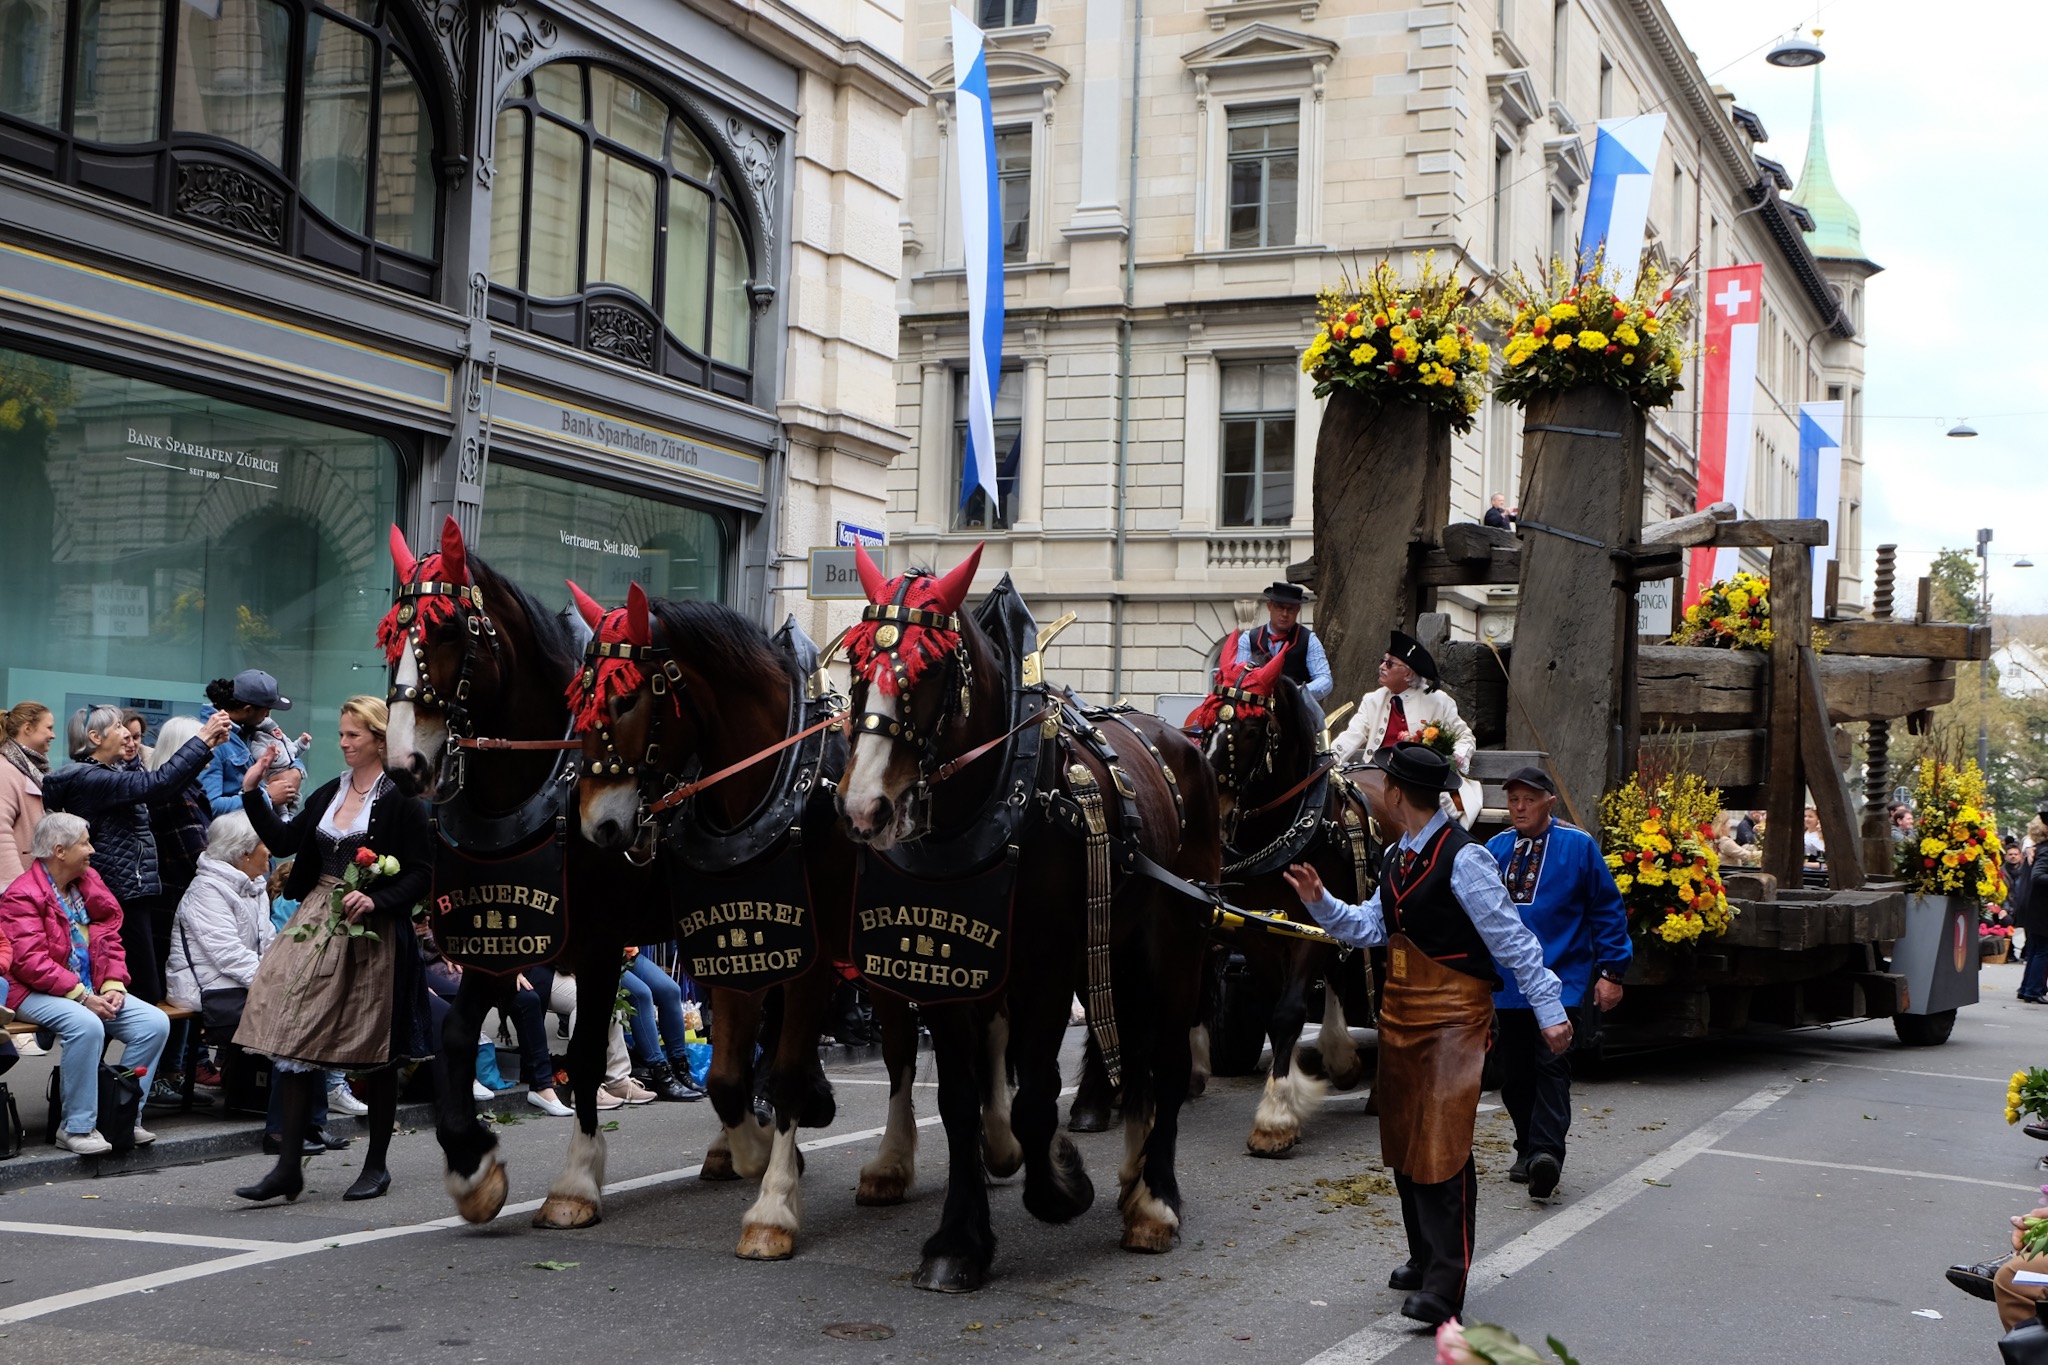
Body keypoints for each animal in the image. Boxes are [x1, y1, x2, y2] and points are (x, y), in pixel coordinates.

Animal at [385, 517, 663, 1236]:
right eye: (391, 631)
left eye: (447, 630)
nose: (402, 766)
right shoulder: (497, 933)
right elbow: (456, 1034)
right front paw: (472, 1163)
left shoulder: (598, 944)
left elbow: (586, 1053)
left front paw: (576, 1183)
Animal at [561, 581, 929, 1260]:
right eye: (578, 702)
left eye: (626, 698)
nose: (600, 826)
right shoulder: (725, 945)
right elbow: (728, 1077)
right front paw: (752, 1154)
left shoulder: (811, 957)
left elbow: (783, 1075)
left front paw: (774, 1207)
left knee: (900, 1050)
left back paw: (894, 1163)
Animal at [831, 544, 1212, 1293]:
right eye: (857, 664)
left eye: (929, 669)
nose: (864, 809)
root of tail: (1177, 738)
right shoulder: (946, 968)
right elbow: (957, 1101)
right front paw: (959, 1240)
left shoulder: (1047, 966)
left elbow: (1036, 1095)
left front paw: (1061, 1186)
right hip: (1115, 946)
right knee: (1138, 1057)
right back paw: (1133, 1175)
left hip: (1176, 936)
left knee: (1169, 1058)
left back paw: (1154, 1199)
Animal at [1196, 646, 1384, 1162]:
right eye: (1207, 721)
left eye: (1251, 729)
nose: (1213, 806)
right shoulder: (1261, 933)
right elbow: (1279, 1006)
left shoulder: (1307, 928)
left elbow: (1289, 1011)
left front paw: (1276, 1117)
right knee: (1341, 974)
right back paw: (1341, 1057)